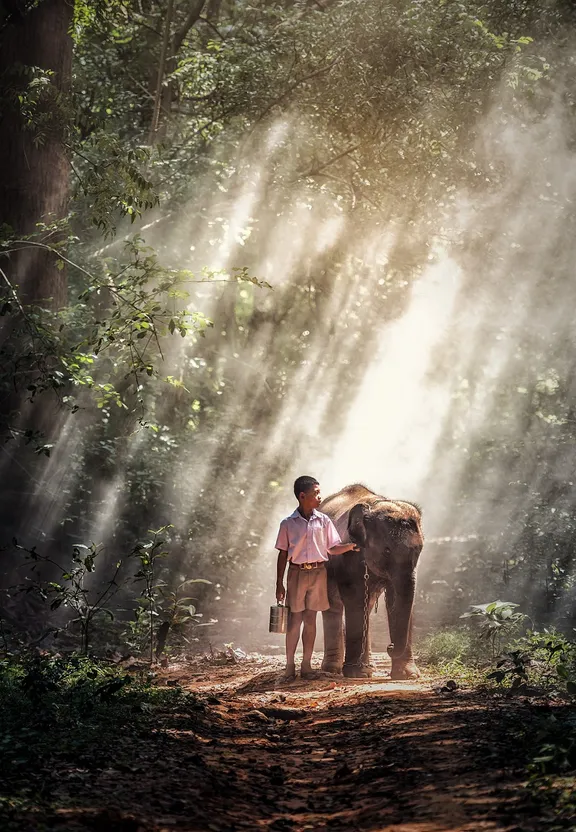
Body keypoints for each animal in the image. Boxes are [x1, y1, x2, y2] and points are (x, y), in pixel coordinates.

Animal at [320, 484, 424, 680]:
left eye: (419, 550)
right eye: (387, 551)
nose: (389, 646)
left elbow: (394, 601)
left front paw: (408, 675)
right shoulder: (348, 555)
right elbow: (355, 600)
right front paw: (355, 674)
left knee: (367, 607)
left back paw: (369, 668)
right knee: (333, 607)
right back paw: (332, 670)